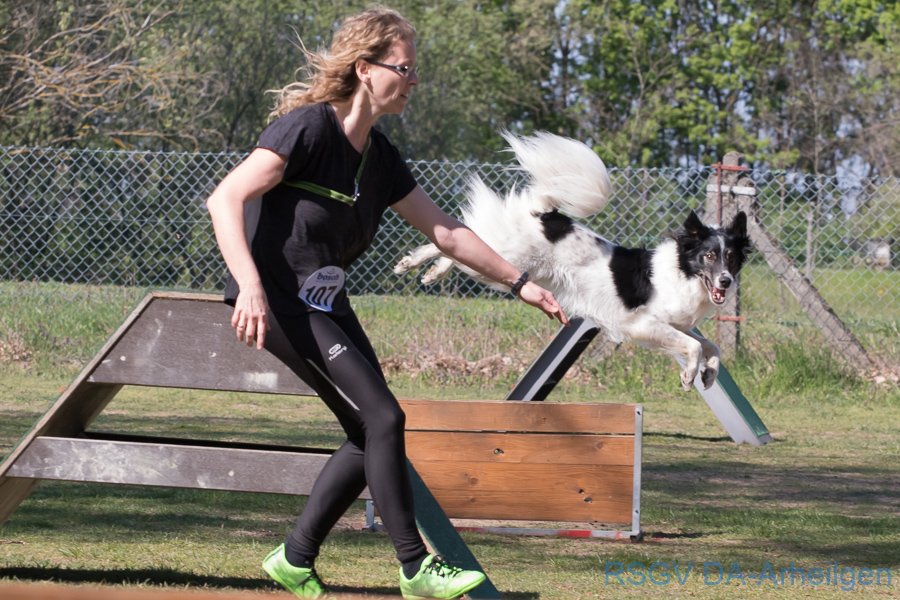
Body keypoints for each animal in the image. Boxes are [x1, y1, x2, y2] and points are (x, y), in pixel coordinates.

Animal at [394, 131, 751, 390]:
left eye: (731, 258)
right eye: (708, 256)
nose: (725, 281)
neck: (683, 273)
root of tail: (545, 213)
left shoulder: (677, 326)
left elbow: (712, 347)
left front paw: (709, 374)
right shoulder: (644, 324)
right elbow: (694, 348)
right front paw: (690, 376)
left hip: (503, 267)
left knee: (460, 243)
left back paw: (431, 272)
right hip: (504, 258)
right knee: (460, 238)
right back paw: (414, 263)